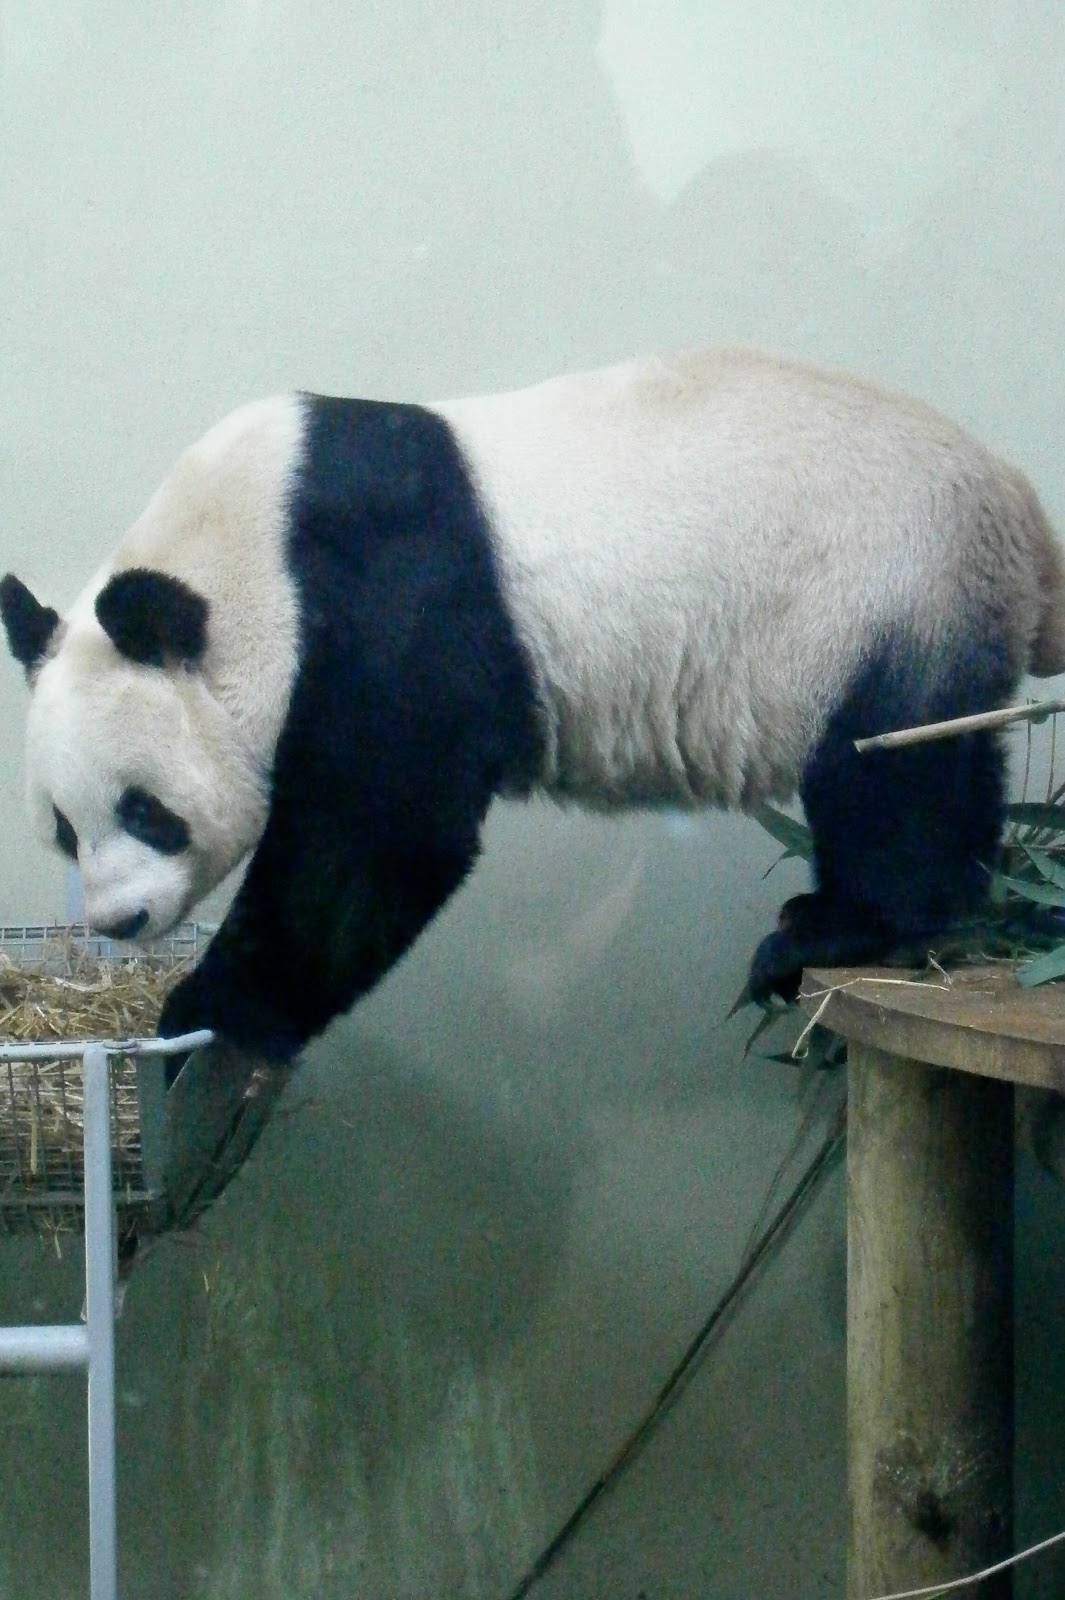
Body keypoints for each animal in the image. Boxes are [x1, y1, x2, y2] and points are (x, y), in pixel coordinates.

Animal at [3, 348, 1064, 1062]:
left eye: (149, 811)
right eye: (62, 828)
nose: (118, 922)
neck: (250, 544)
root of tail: (1018, 507)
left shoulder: (388, 592)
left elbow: (382, 832)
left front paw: (209, 1010)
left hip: (887, 591)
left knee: (890, 773)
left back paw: (837, 929)